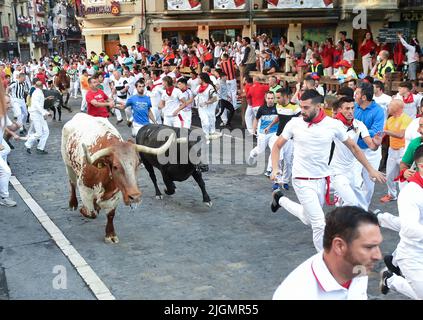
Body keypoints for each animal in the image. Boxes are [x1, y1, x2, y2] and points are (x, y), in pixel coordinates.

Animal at [60, 112, 175, 242]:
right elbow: (91, 213)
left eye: (137, 163)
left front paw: (110, 235)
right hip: (68, 164)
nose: (135, 197)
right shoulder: (85, 189)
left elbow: (110, 214)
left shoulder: (117, 193)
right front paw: (84, 210)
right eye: (115, 166)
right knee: (72, 183)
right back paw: (73, 204)